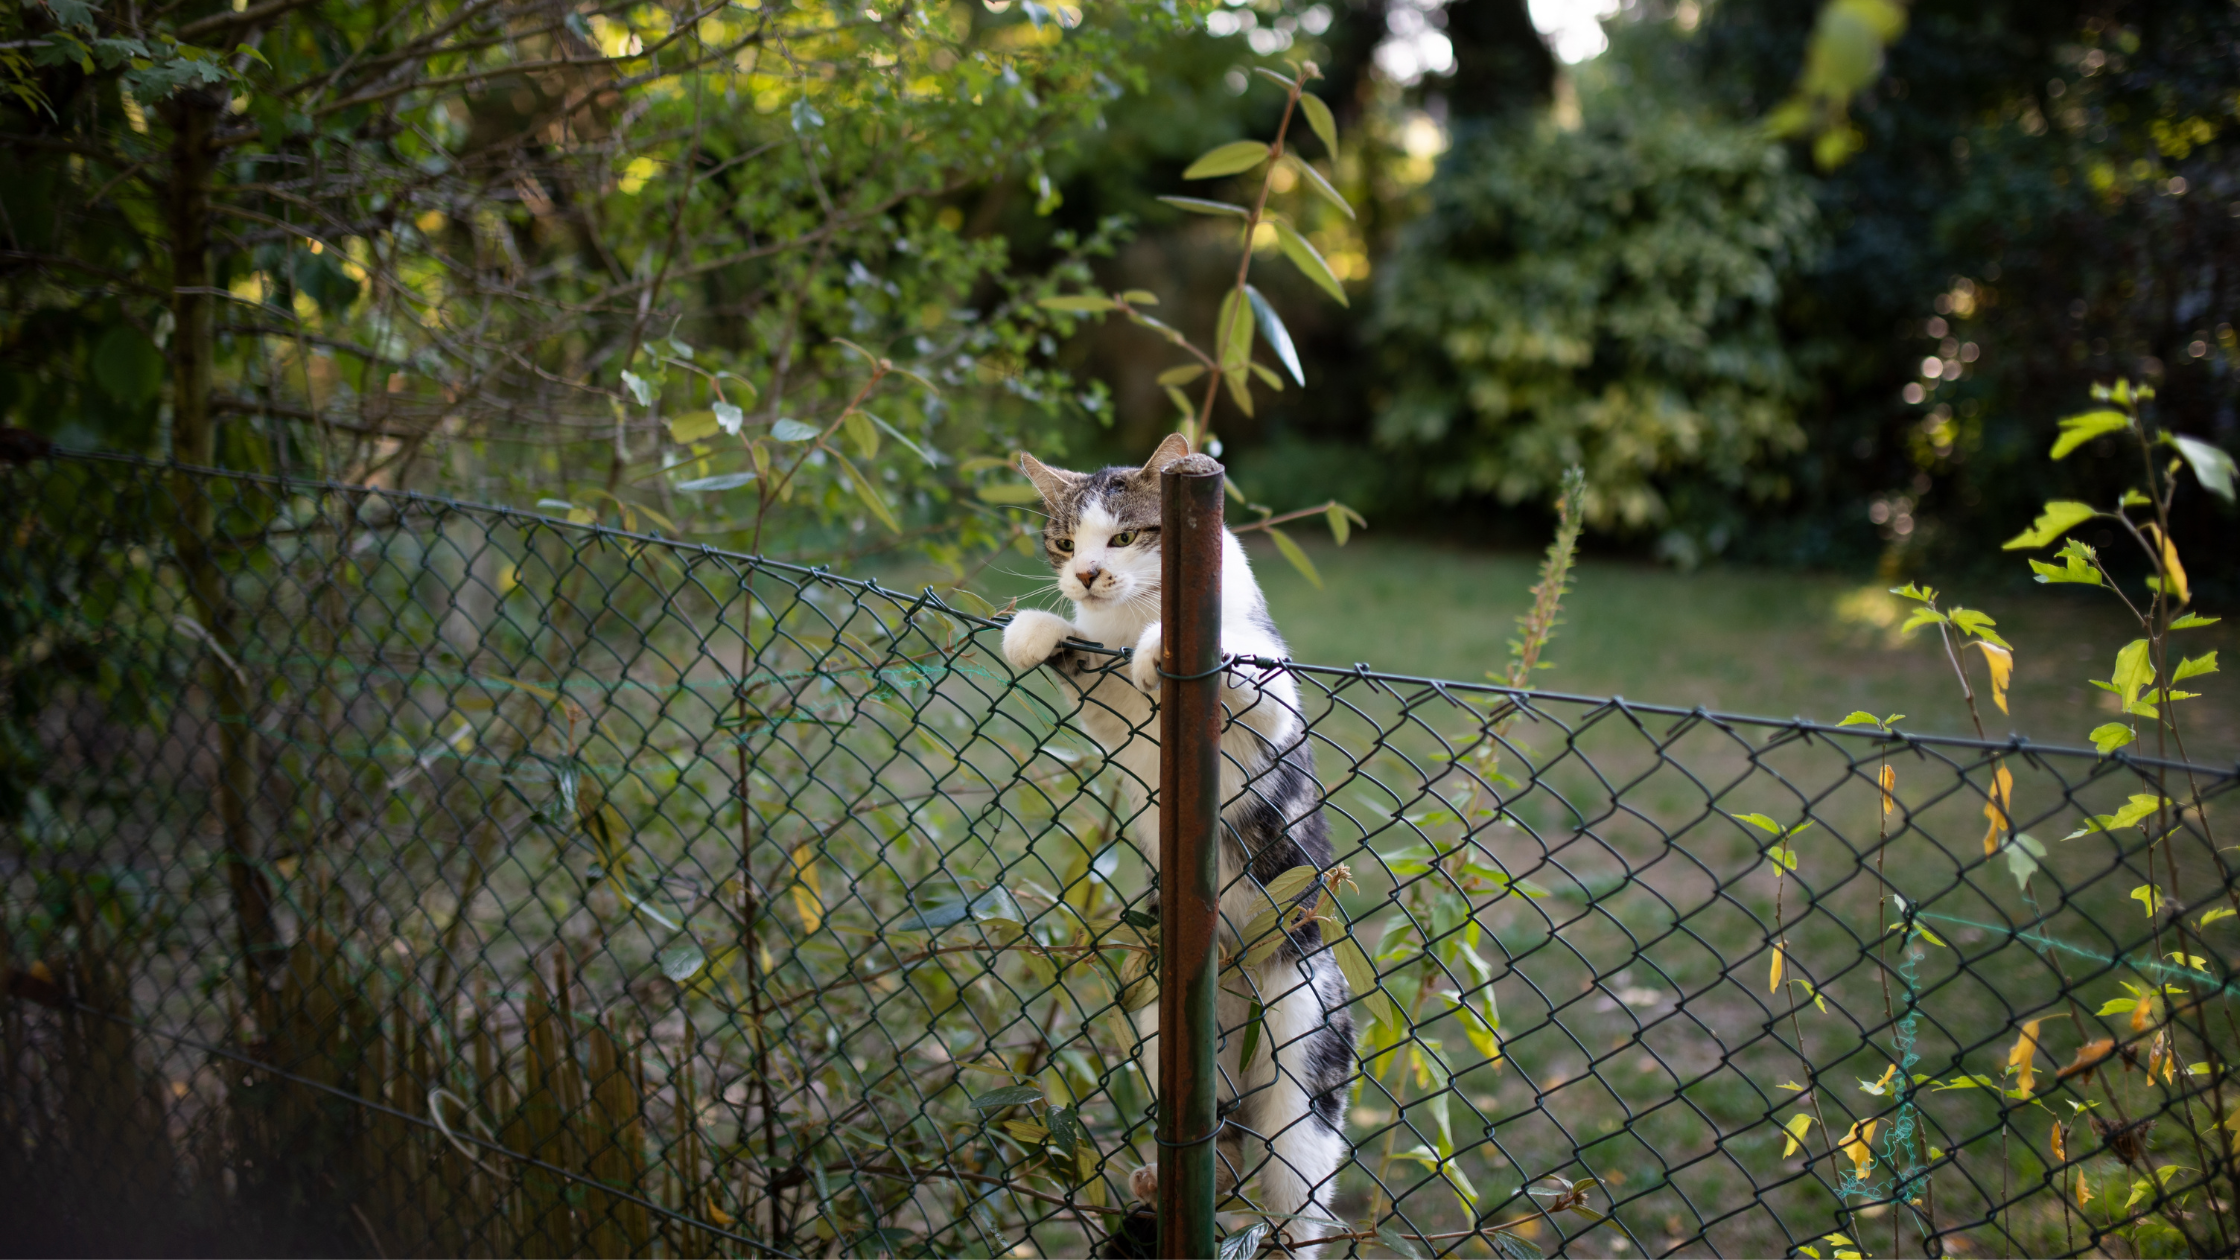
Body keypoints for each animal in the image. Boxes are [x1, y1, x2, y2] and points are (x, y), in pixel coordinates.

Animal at [1008, 428, 1352, 1246]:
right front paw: (1037, 630)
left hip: (1302, 1050)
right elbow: (1088, 670)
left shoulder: (1270, 693)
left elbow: (1243, 675)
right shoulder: (1114, 725)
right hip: (1165, 1030)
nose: (1087, 573)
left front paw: (1161, 648)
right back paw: (1167, 1176)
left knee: (1298, 1198)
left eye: (1125, 536)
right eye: (1065, 541)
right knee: (1217, 1137)